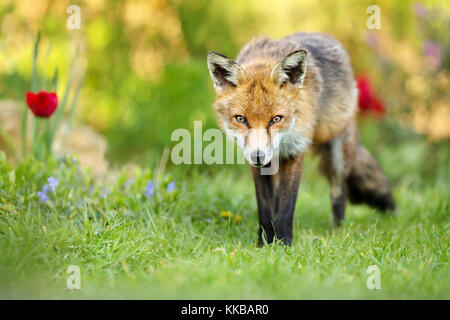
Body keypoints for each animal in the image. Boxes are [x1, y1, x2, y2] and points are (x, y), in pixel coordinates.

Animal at [207, 32, 394, 246]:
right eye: (240, 119)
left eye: (276, 119)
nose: (258, 156)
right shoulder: (260, 166)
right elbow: (265, 210)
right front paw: (265, 244)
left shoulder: (295, 151)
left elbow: (287, 207)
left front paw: (284, 244)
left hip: (338, 154)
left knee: (339, 192)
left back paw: (337, 231)